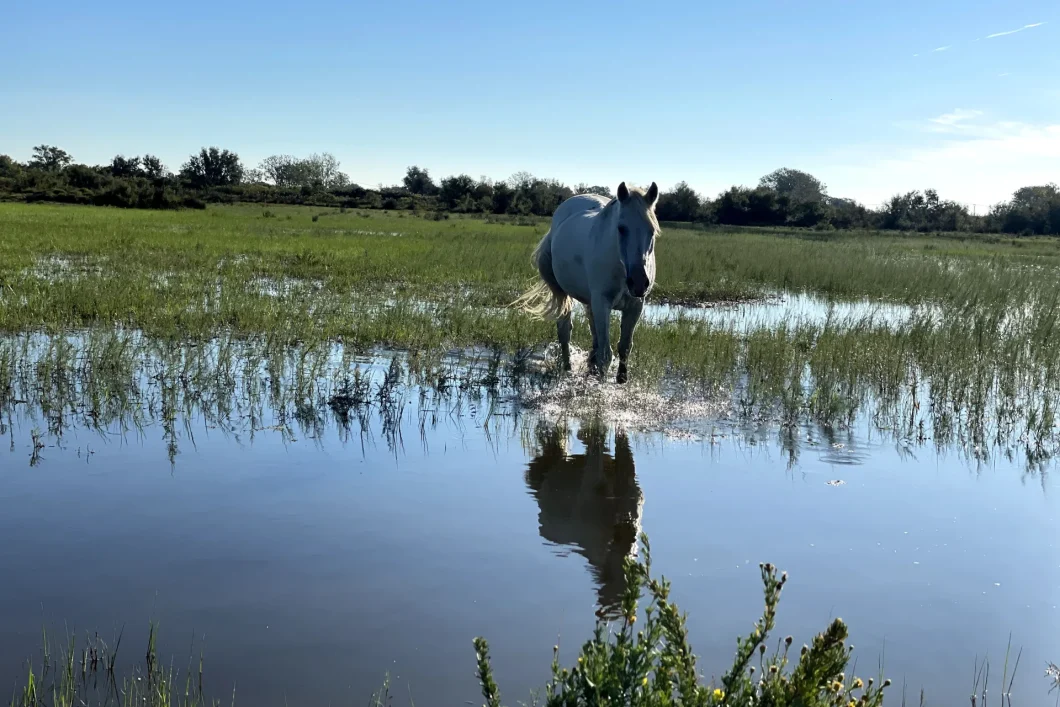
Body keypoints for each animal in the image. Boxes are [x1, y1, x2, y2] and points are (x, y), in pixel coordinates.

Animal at [514, 181, 660, 384]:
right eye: (621, 228)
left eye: (651, 230)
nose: (638, 282)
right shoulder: (602, 303)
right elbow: (606, 354)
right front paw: (599, 385)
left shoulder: (635, 305)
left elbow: (624, 347)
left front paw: (621, 381)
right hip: (567, 297)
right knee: (565, 332)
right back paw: (567, 369)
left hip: (591, 302)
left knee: (594, 337)